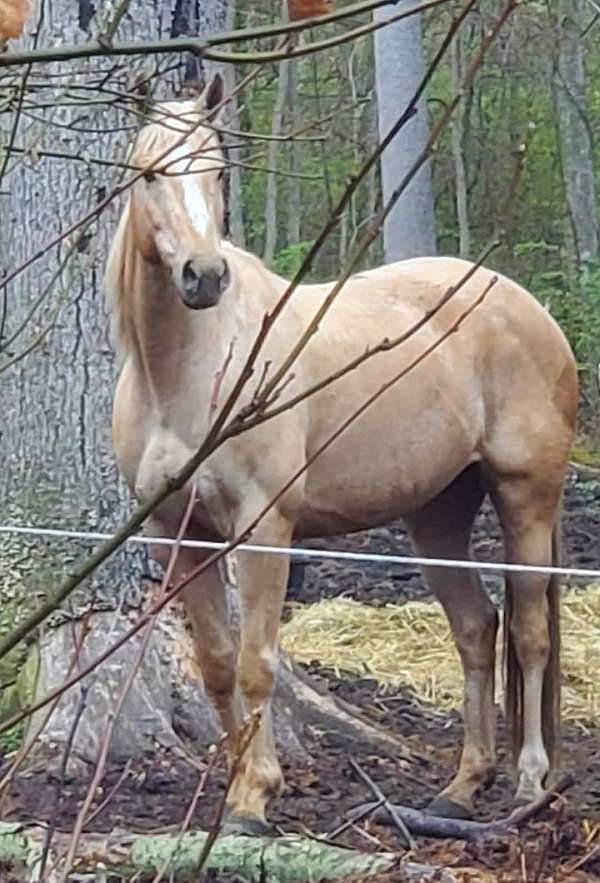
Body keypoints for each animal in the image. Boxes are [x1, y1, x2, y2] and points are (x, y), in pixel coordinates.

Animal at [106, 75, 578, 834]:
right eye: (150, 173)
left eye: (218, 171)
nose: (204, 276)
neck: (191, 373)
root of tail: (525, 305)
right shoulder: (175, 532)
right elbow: (215, 663)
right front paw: (237, 783)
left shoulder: (264, 526)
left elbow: (256, 661)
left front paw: (255, 799)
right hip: (436, 514)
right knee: (477, 629)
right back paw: (460, 786)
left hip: (525, 495)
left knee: (531, 632)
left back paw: (530, 782)